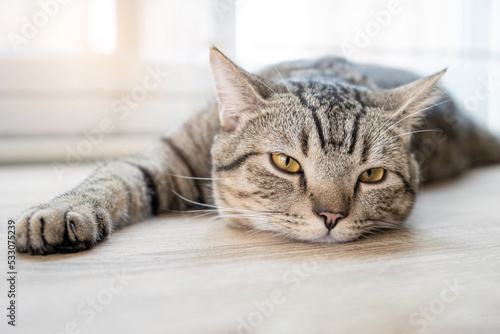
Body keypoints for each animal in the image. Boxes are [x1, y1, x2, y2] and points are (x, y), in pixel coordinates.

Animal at [15, 47, 500, 254]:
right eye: (285, 163)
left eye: (372, 175)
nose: (331, 216)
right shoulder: (164, 155)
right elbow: (113, 177)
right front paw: (60, 211)